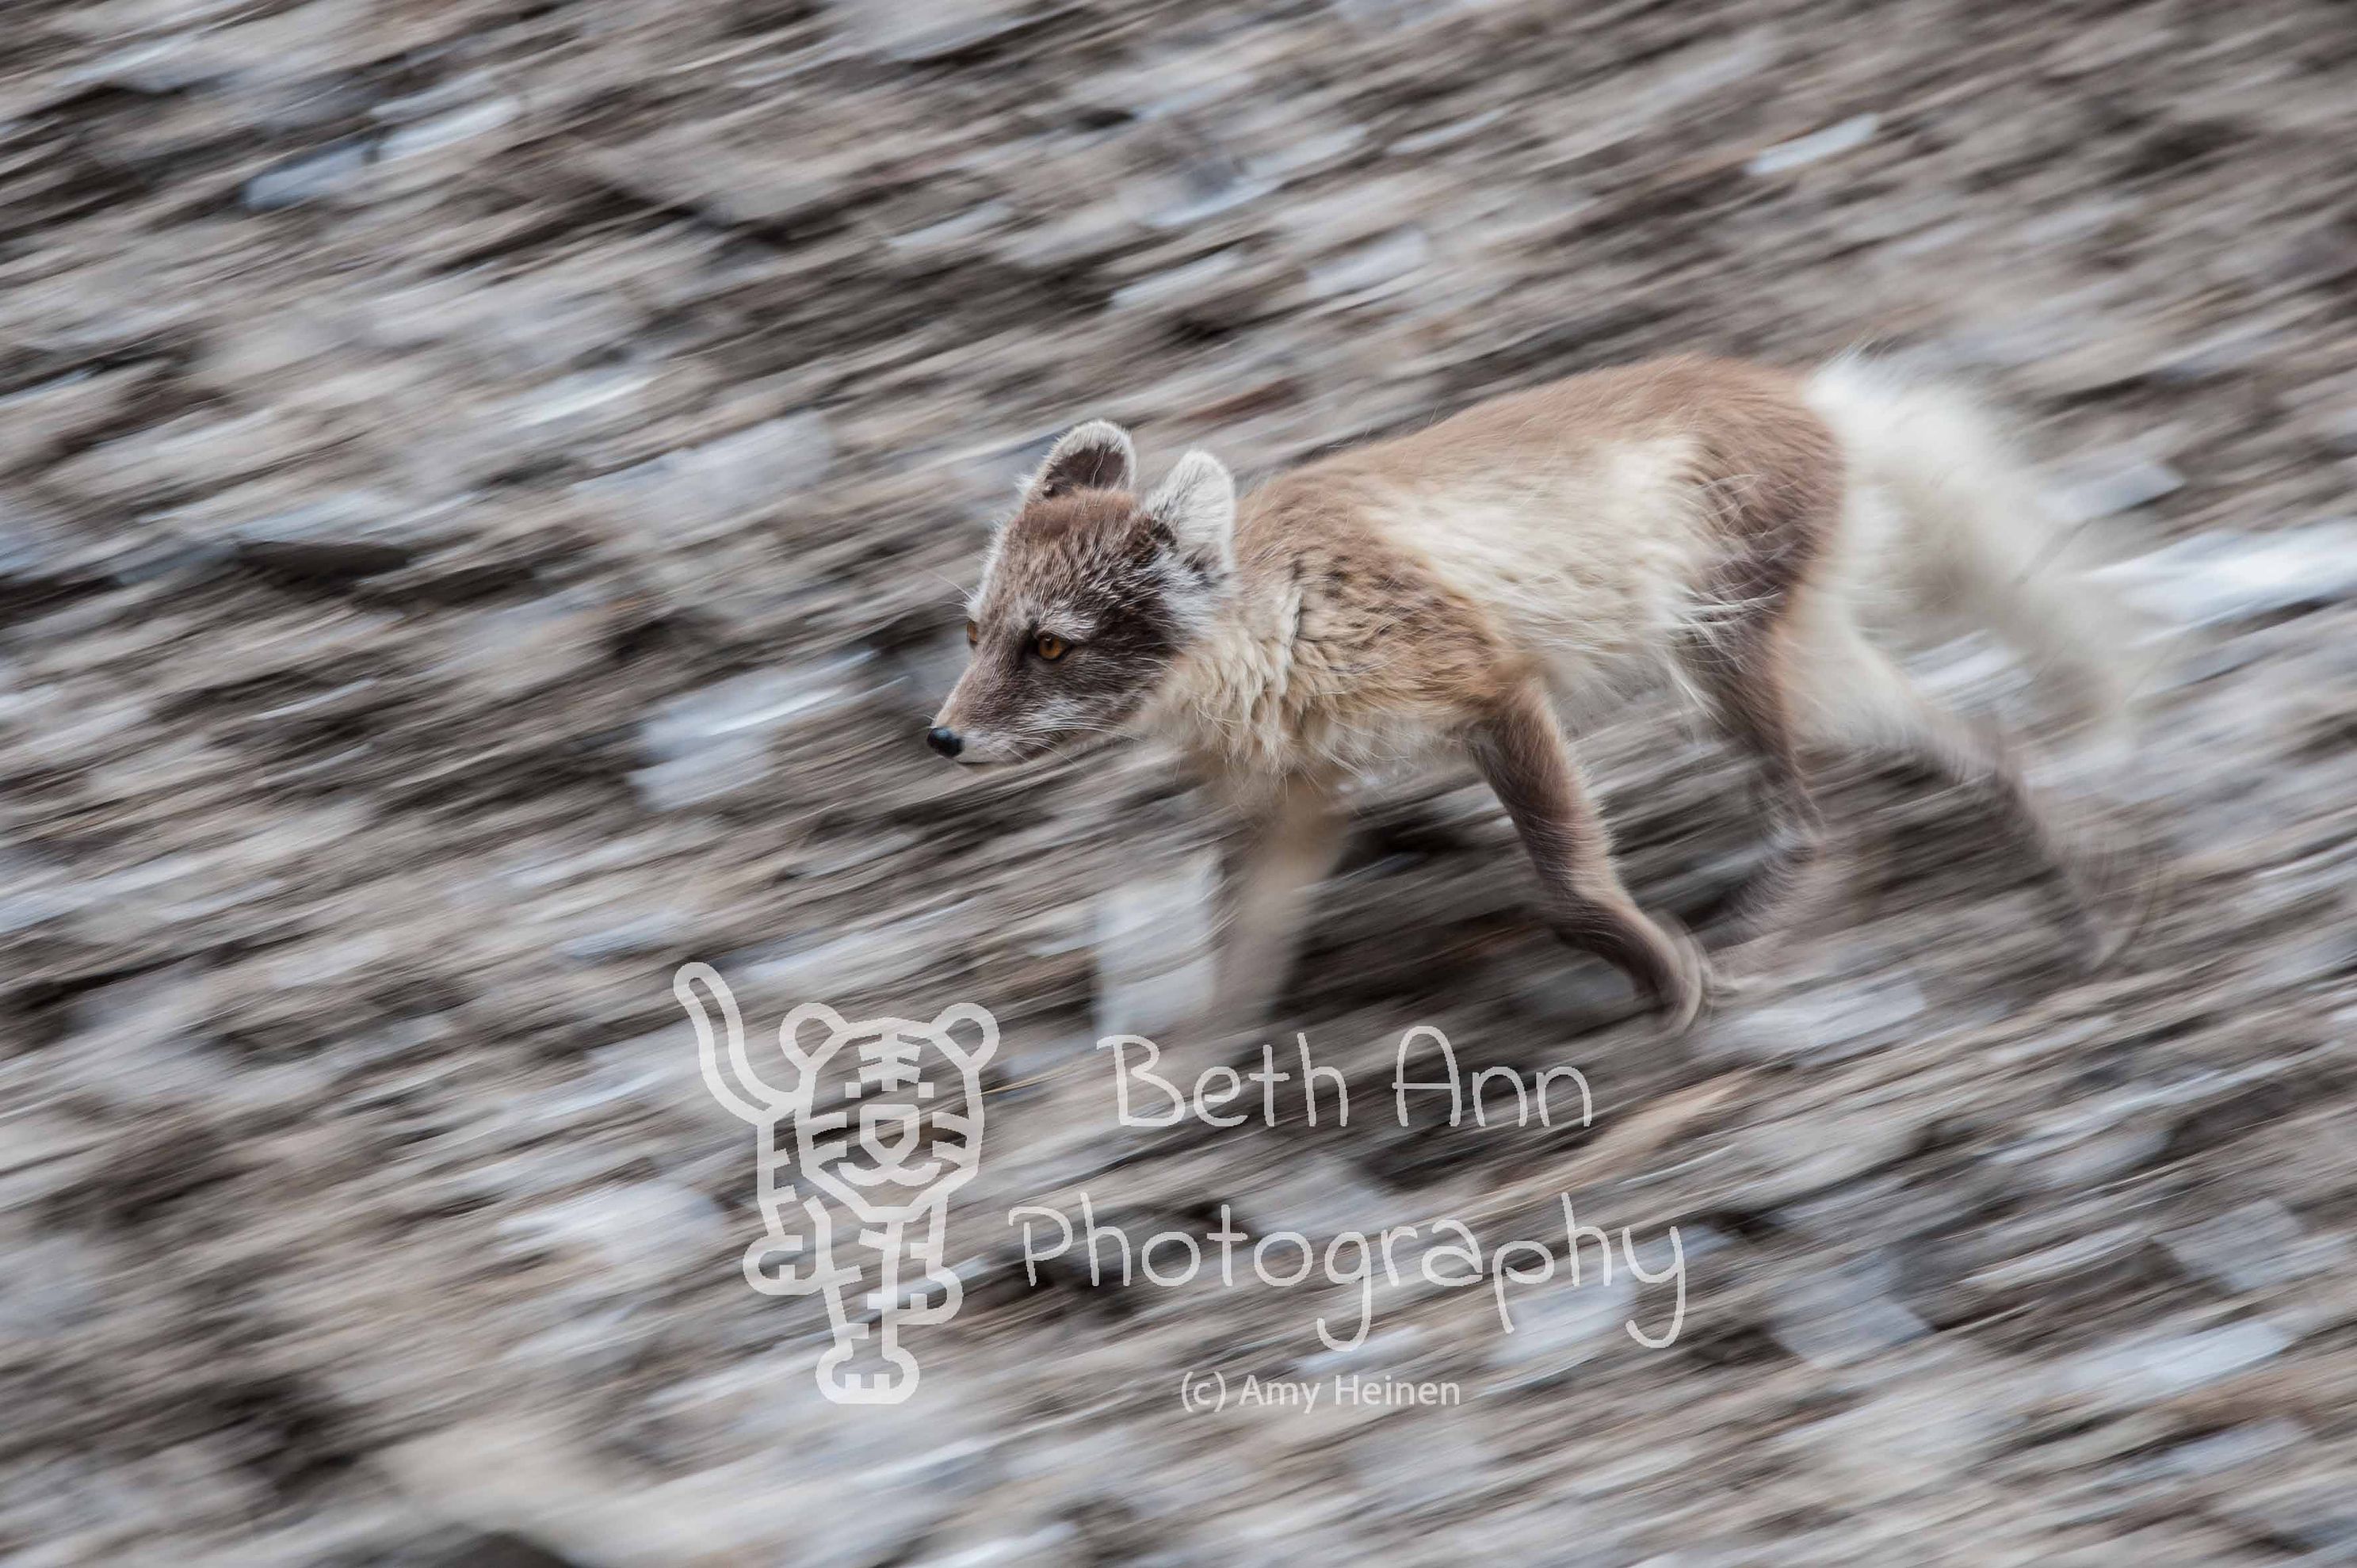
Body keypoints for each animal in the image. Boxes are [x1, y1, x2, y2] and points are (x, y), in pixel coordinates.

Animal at [929, 355, 2142, 1032]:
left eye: (1050, 645)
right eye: (976, 631)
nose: (940, 737)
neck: (1273, 626)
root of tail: (1822, 400)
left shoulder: (1492, 691)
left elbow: (1565, 882)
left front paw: (1665, 978)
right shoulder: (1307, 804)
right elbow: (1244, 955)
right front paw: (1201, 1069)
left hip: (1721, 660)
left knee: (1826, 826)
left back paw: (1755, 950)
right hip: (1815, 671)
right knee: (1989, 745)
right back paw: (2088, 905)